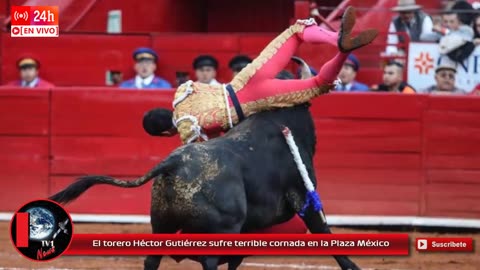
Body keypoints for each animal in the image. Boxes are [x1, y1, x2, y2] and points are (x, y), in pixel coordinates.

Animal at [50, 104, 360, 270]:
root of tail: (173, 164)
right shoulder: (303, 195)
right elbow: (323, 230)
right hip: (220, 231)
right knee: (208, 260)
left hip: (160, 226)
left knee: (152, 260)